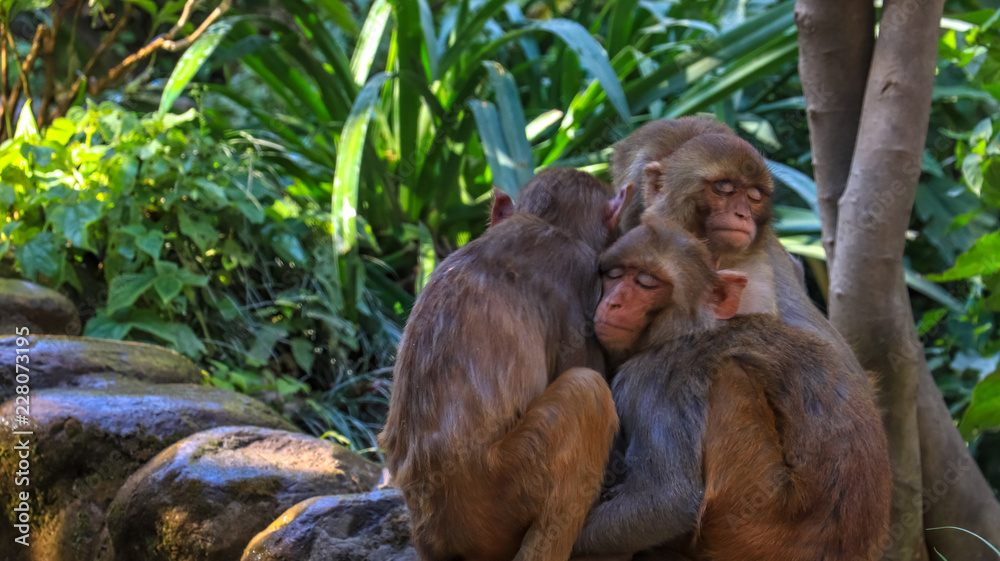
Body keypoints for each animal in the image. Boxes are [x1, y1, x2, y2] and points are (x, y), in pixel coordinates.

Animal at [572, 214, 892, 561]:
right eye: (615, 275)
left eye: (647, 283)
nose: (614, 302)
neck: (686, 330)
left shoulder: (647, 380)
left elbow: (667, 500)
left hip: (758, 526)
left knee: (728, 375)